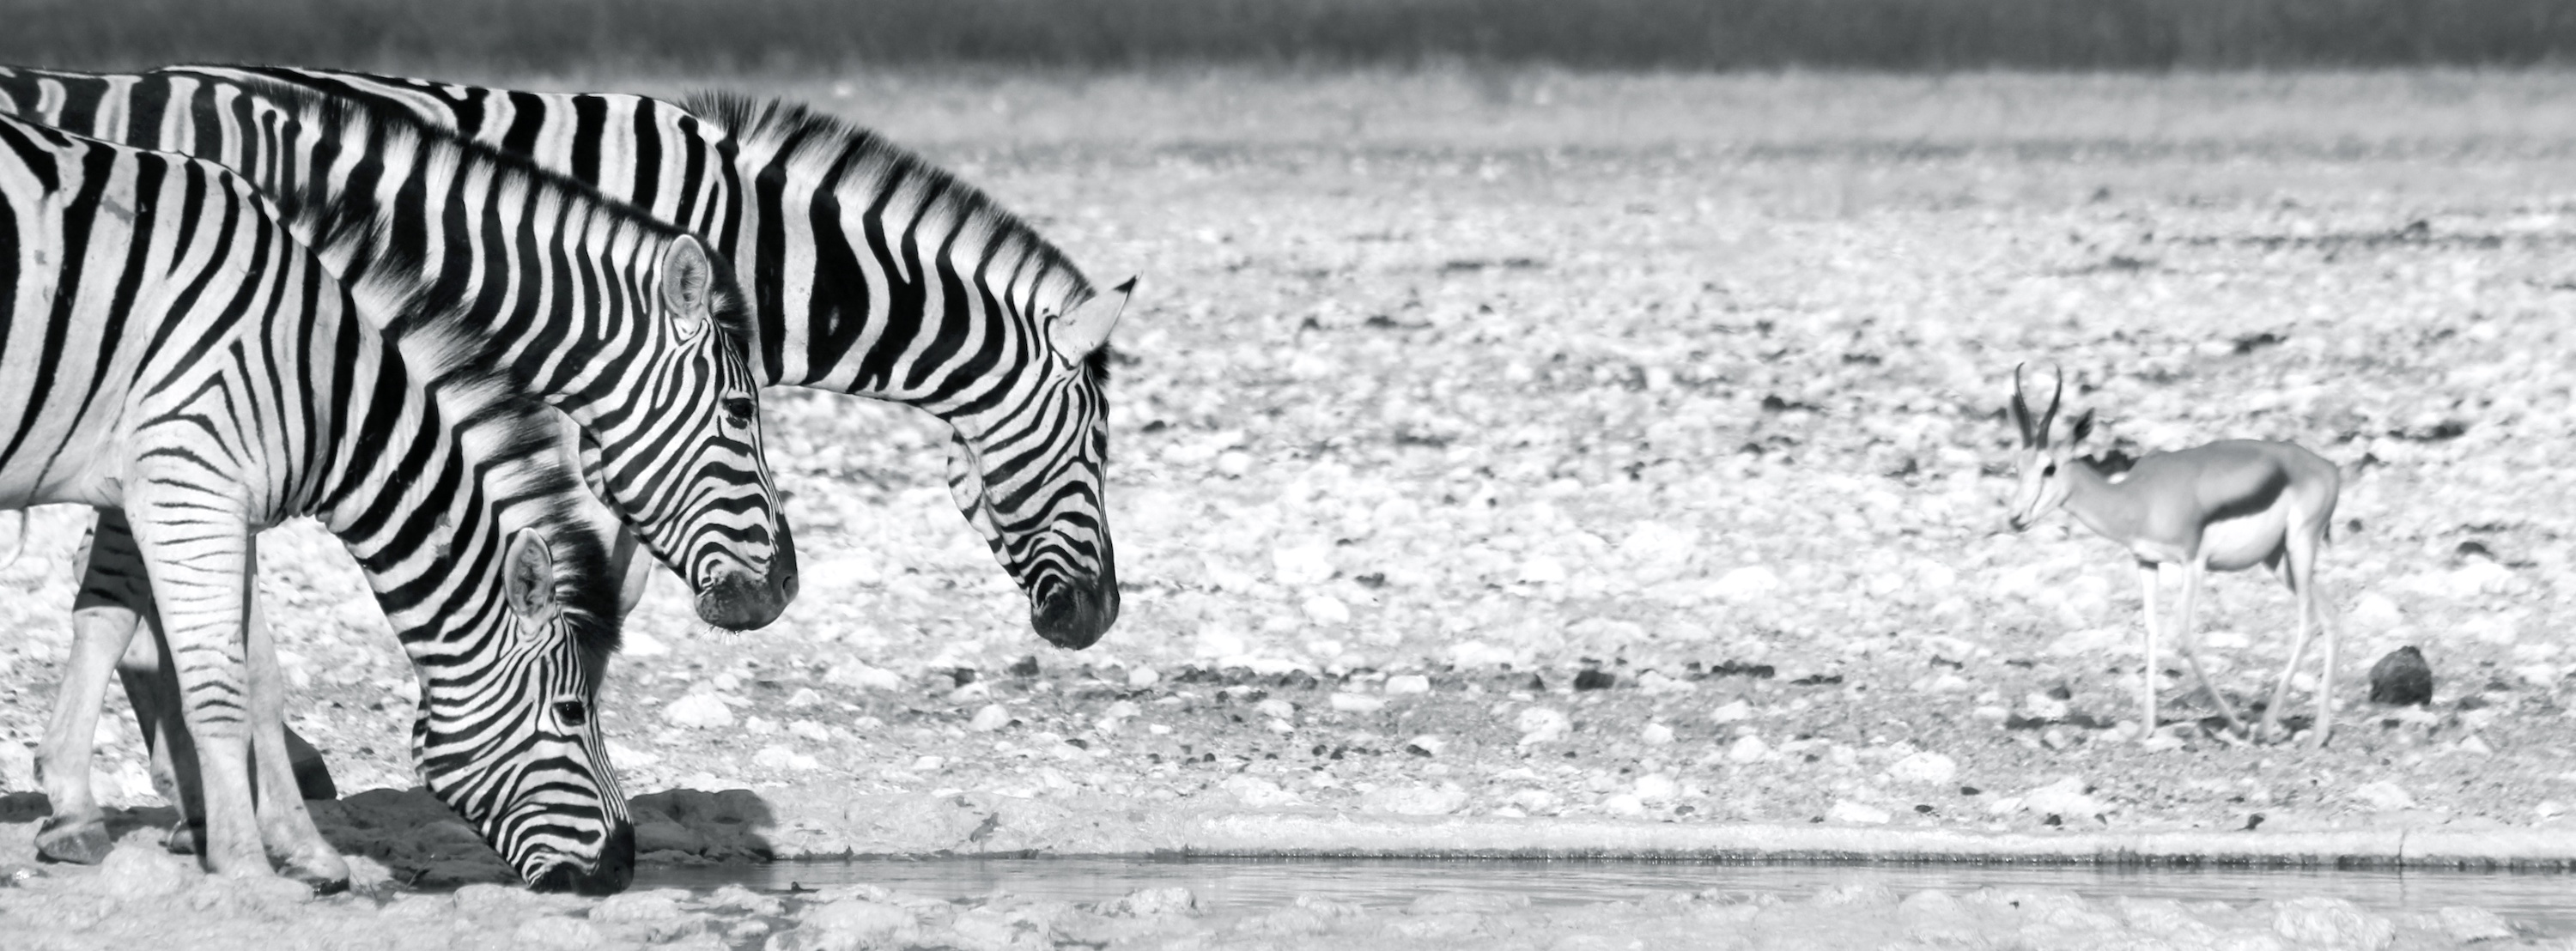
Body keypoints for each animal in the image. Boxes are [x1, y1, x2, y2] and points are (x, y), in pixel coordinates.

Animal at [0, 76, 797, 870]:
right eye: (739, 410)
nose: (786, 585)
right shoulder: (192, 455)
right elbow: (160, 620)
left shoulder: (198, 463)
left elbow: (165, 623)